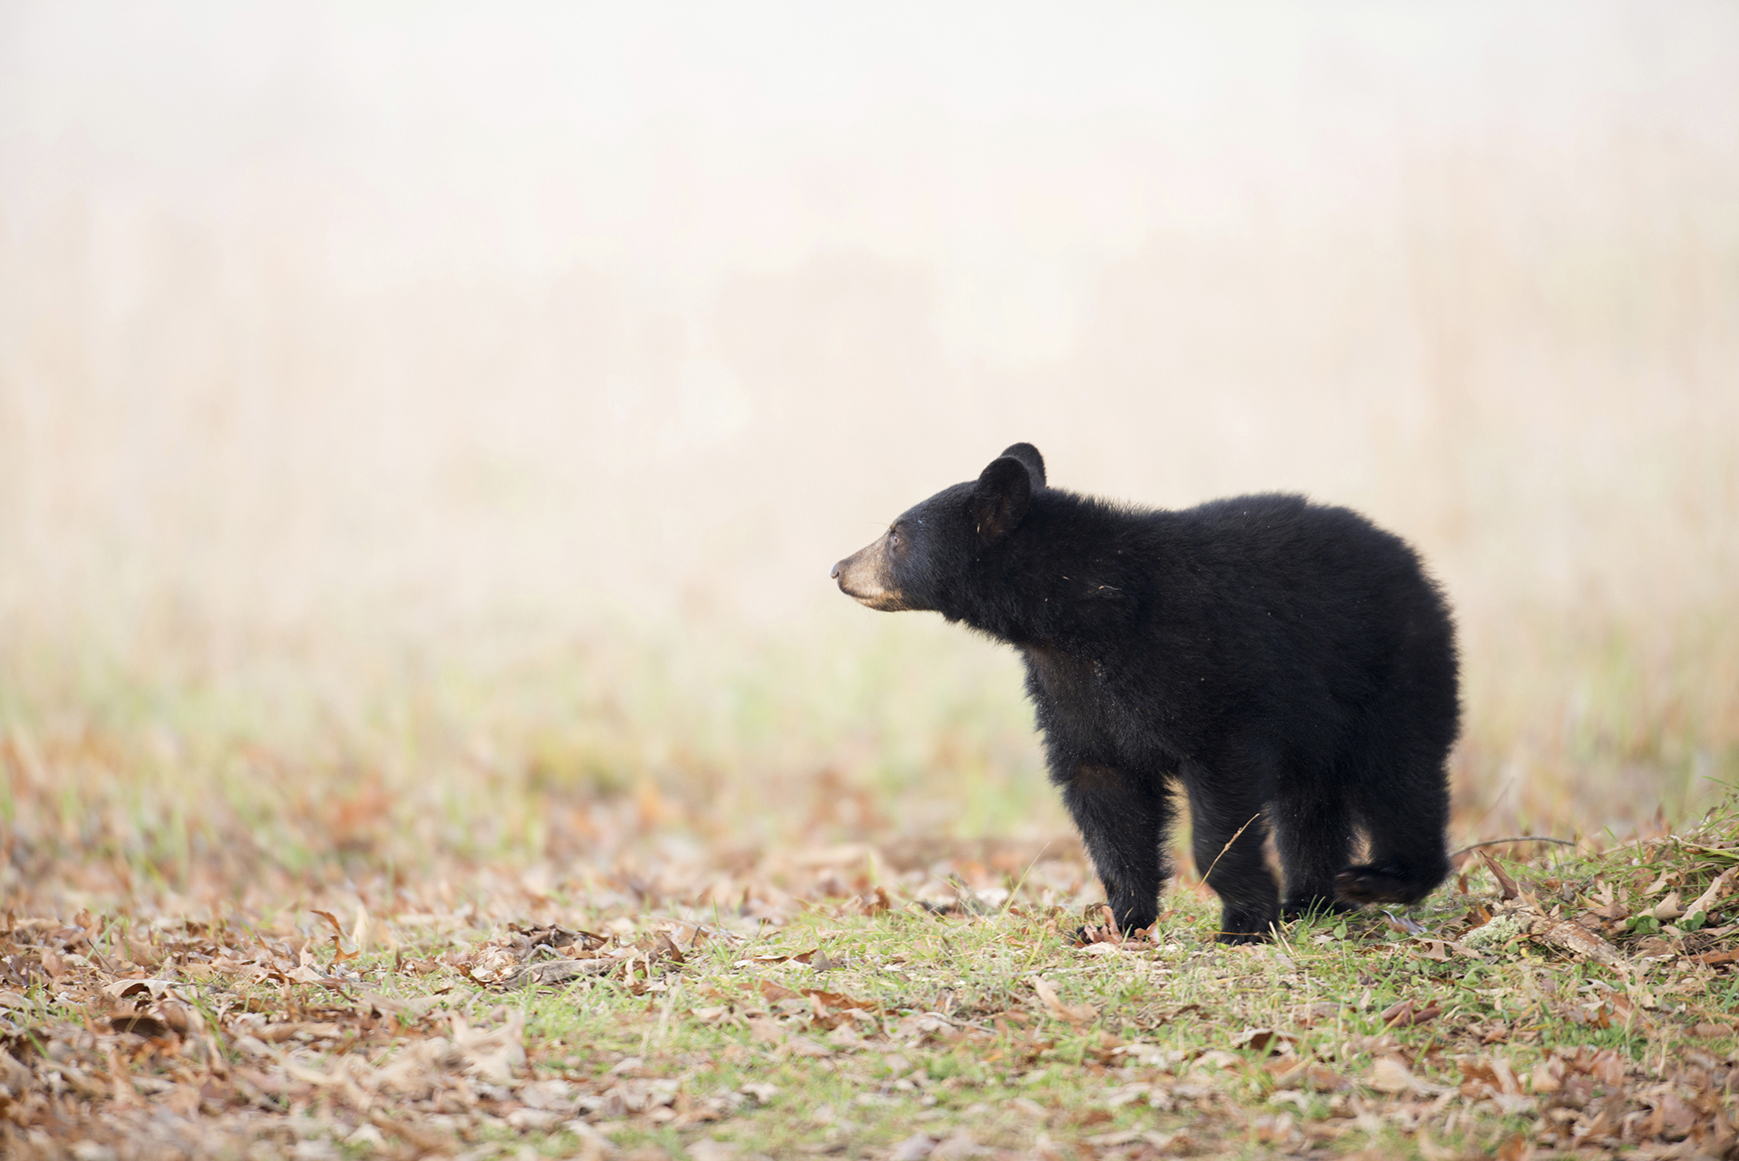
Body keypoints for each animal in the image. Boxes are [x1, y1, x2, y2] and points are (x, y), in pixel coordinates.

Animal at [831, 443, 1458, 943]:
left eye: (895, 534)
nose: (838, 567)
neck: (1083, 616)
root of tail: (1411, 561)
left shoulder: (1205, 672)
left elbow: (1220, 800)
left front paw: (1243, 924)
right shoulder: (1071, 693)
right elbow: (1105, 794)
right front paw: (1122, 923)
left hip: (1392, 669)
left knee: (1399, 774)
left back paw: (1381, 880)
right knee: (1311, 801)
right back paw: (1312, 900)